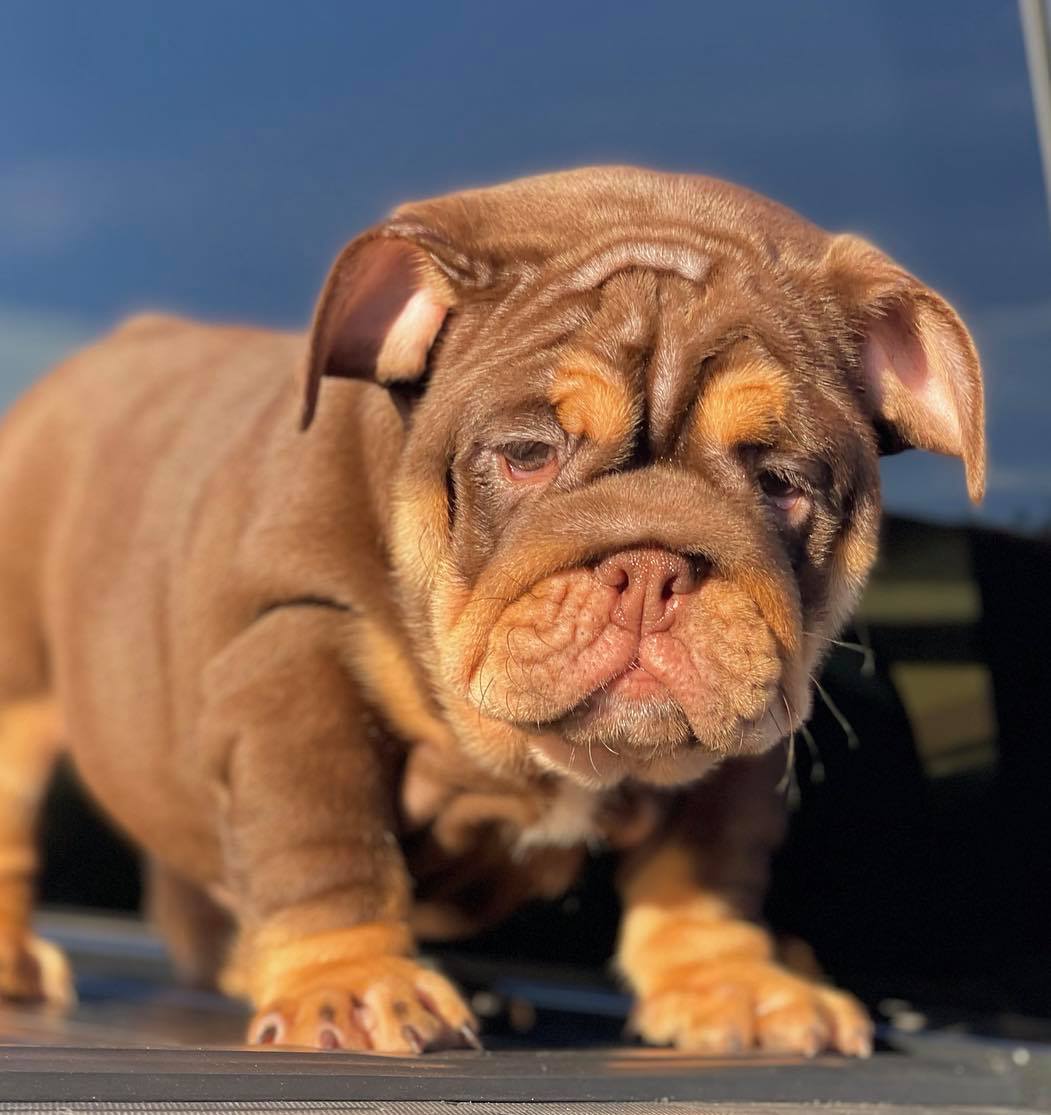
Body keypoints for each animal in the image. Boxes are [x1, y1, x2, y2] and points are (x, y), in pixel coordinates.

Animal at [0, 167, 983, 1056]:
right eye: (525, 454)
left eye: (781, 481)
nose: (651, 566)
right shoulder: (294, 656)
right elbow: (325, 837)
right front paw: (351, 981)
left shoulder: (741, 738)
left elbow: (706, 863)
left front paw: (728, 980)